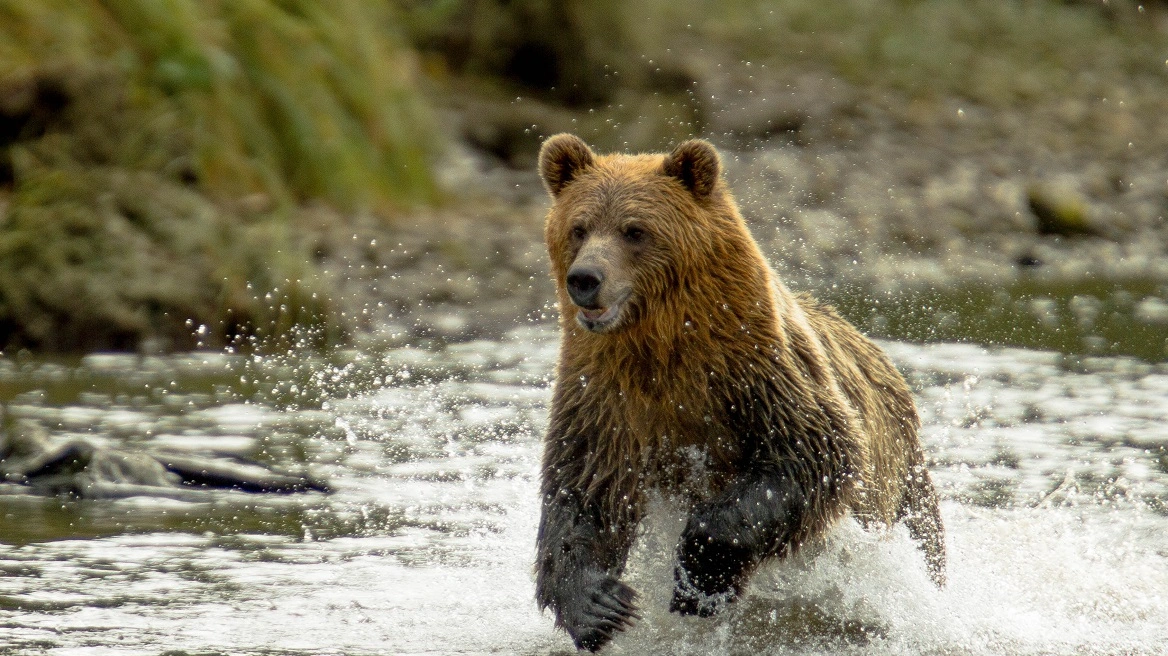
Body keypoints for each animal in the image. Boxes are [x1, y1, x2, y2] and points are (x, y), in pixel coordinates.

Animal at [534, 133, 943, 648]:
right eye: (579, 227)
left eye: (634, 230)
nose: (585, 279)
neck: (661, 348)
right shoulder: (603, 397)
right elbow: (584, 492)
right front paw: (600, 605)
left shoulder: (757, 370)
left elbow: (811, 455)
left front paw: (698, 577)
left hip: (904, 483)